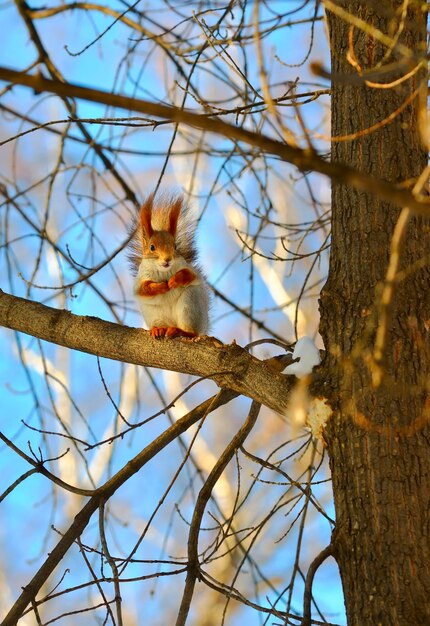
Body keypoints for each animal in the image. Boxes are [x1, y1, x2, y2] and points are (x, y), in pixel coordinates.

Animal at [127, 195, 210, 338]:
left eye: (175, 246)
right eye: (152, 247)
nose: (167, 259)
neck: (163, 271)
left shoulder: (188, 268)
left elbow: (190, 275)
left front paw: (175, 280)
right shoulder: (141, 277)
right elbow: (143, 289)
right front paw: (160, 287)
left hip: (189, 305)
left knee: (191, 331)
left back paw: (181, 331)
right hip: (154, 314)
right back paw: (158, 329)